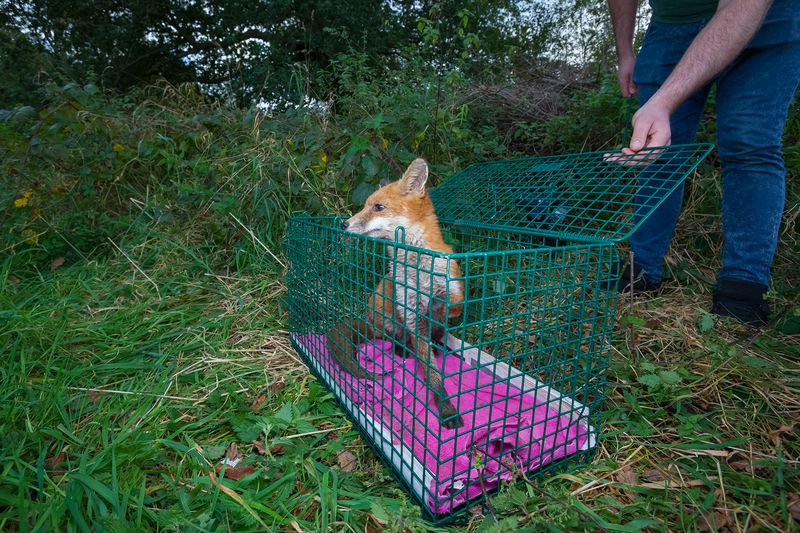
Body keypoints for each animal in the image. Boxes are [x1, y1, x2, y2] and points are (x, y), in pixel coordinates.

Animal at [327, 158, 465, 429]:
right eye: (364, 205)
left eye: (378, 207)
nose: (343, 224)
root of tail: (369, 319)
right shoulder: (411, 314)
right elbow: (433, 375)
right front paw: (446, 409)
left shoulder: (455, 292)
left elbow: (450, 305)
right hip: (387, 314)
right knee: (397, 340)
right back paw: (403, 350)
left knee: (436, 335)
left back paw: (440, 345)